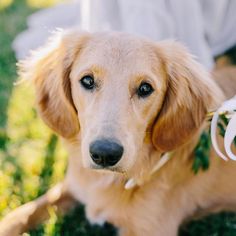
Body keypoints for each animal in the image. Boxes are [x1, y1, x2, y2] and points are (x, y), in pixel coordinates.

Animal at [1, 30, 236, 235]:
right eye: (87, 80)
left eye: (145, 88)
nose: (105, 154)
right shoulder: (72, 186)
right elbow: (26, 211)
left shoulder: (150, 230)